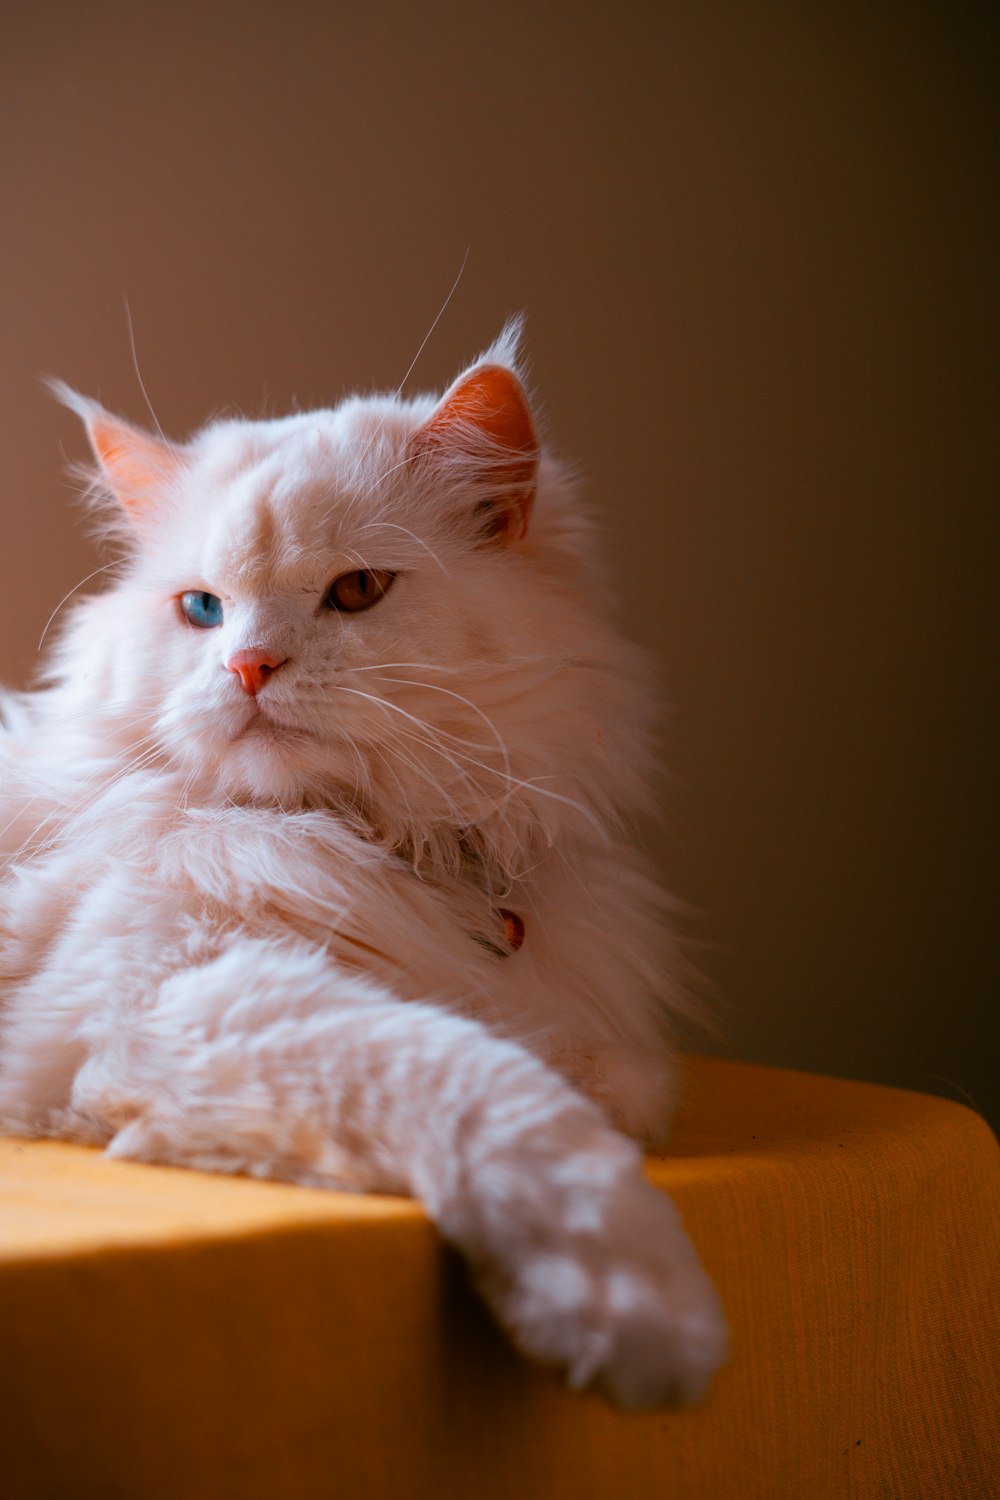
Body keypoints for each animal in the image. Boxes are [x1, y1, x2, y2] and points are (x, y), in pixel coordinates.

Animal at [0, 325, 728, 1404]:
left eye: (356, 591)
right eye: (203, 610)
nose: (248, 667)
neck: (387, 841)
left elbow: (620, 1082)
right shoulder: (157, 1010)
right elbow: (496, 1090)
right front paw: (636, 1311)